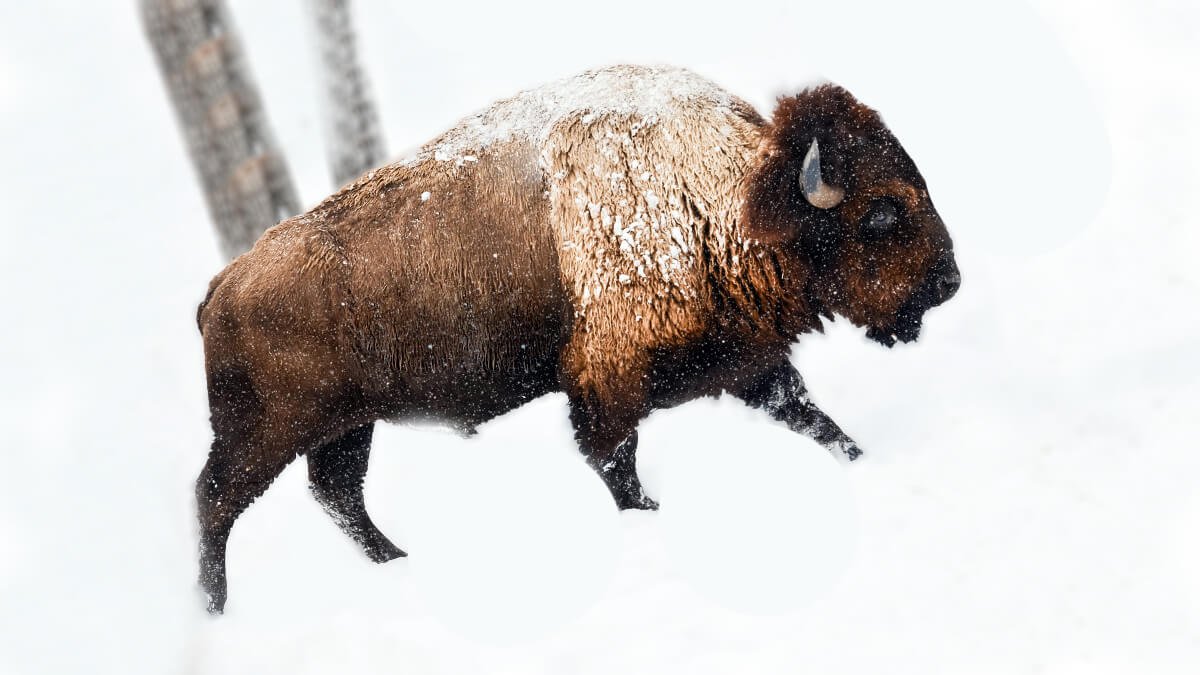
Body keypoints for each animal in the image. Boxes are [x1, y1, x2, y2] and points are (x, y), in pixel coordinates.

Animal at [199, 63, 964, 610]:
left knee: (337, 495)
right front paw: (649, 517)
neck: (727, 194)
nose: (949, 280)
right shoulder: (608, 384)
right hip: (268, 433)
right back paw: (215, 609)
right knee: (217, 500)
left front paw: (861, 459)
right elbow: (616, 464)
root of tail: (223, 284)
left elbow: (813, 418)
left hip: (346, 428)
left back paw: (399, 561)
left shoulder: (749, 364)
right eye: (882, 212)